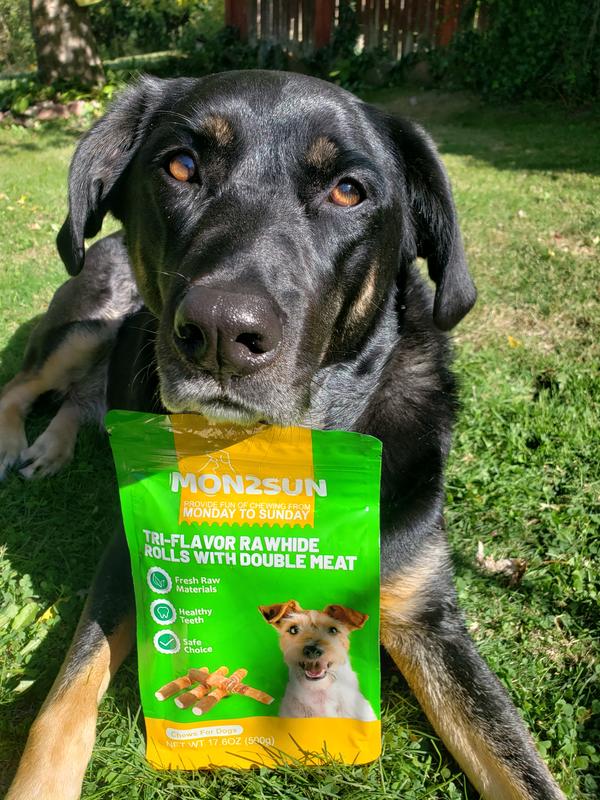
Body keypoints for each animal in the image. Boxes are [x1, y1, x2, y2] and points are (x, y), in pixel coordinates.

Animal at [2, 71, 565, 800]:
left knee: (77, 399)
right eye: (179, 166)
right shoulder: (126, 560)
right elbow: (62, 704)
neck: (272, 460)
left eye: (348, 190)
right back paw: (23, 444)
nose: (219, 332)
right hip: (92, 322)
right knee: (25, 385)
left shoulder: (427, 611)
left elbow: (519, 762)